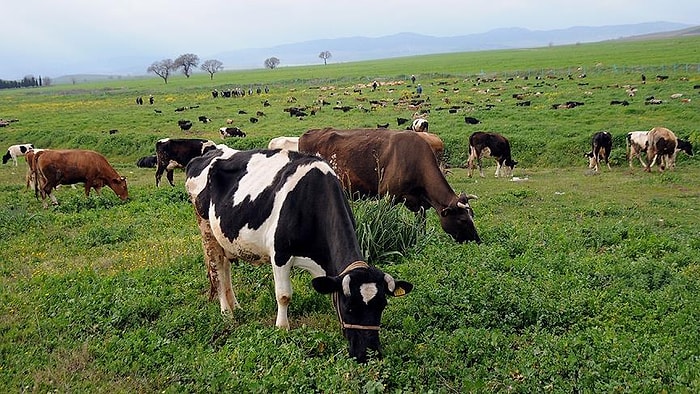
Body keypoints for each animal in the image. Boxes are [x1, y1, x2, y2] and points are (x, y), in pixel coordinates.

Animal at [187, 146, 416, 362]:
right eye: (349, 307)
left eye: (382, 306)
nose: (368, 354)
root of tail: (212, 152)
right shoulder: (280, 254)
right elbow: (284, 295)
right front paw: (282, 328)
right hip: (206, 229)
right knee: (217, 270)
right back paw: (227, 313)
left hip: (223, 237)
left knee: (225, 268)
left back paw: (237, 306)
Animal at [298, 127, 478, 243]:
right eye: (462, 219)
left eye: (472, 215)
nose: (477, 240)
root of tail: (308, 133)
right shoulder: (388, 196)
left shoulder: (420, 204)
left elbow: (421, 226)